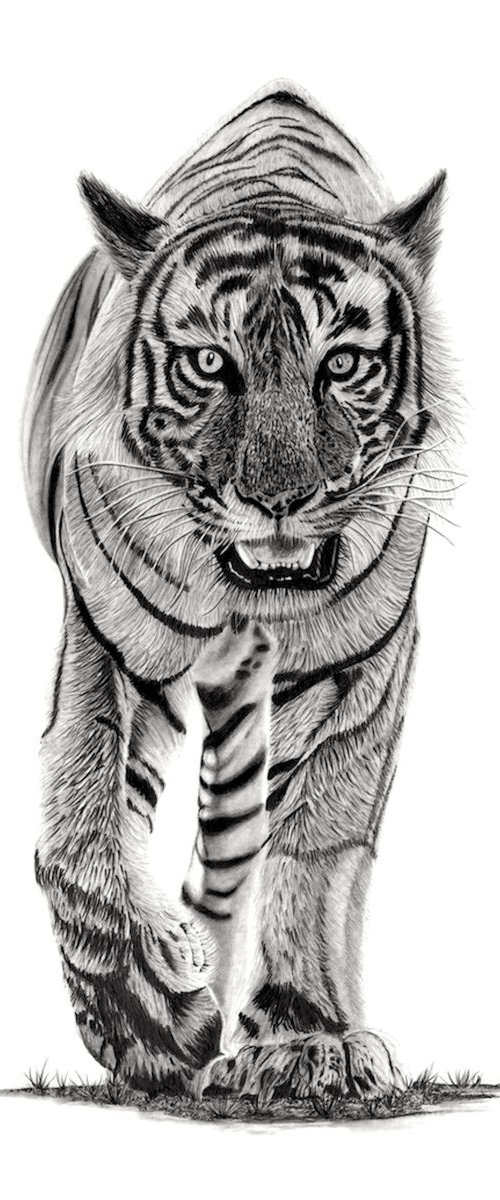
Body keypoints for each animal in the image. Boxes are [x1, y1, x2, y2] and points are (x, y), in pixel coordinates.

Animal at [22, 80, 457, 1102]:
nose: (278, 500)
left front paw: (303, 1039)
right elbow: (84, 839)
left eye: (342, 364)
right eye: (212, 364)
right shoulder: (106, 637)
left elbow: (315, 847)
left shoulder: (362, 663)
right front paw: (150, 1026)